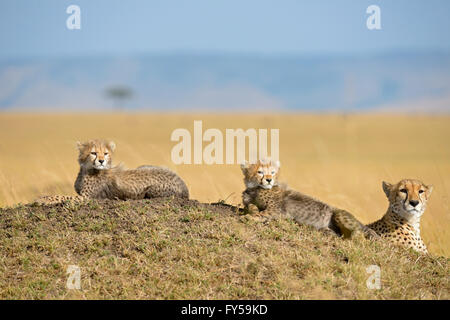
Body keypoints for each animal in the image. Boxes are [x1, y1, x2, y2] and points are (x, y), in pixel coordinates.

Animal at [35, 139, 189, 205]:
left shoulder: (87, 197)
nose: (101, 161)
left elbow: (61, 196)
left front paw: (42, 199)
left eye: (106, 153)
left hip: (151, 191)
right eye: (93, 153)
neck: (87, 169)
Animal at [241, 159, 378, 239]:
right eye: (260, 172)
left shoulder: (277, 211)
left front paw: (249, 217)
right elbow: (249, 205)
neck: (256, 188)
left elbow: (263, 213)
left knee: (358, 232)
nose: (269, 179)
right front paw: (252, 210)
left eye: (273, 172)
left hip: (339, 215)